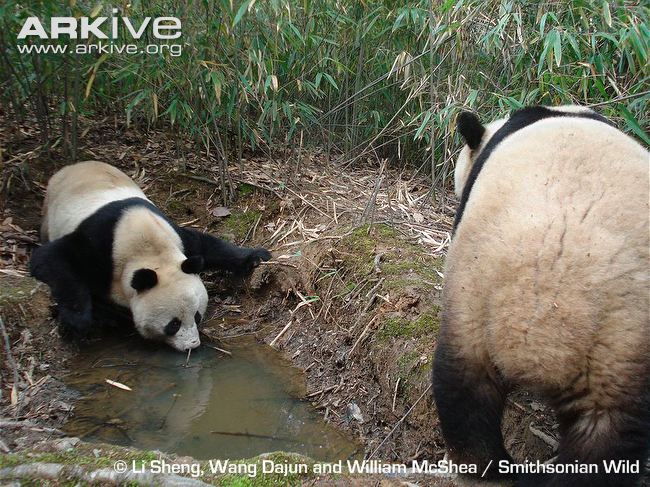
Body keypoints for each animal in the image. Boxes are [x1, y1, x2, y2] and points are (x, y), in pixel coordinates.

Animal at [30, 161, 271, 352]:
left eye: (197, 316)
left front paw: (256, 256)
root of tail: (72, 166)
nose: (192, 345)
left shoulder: (175, 236)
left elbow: (206, 245)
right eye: (173, 324)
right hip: (49, 213)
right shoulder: (97, 244)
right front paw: (76, 323)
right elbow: (52, 258)